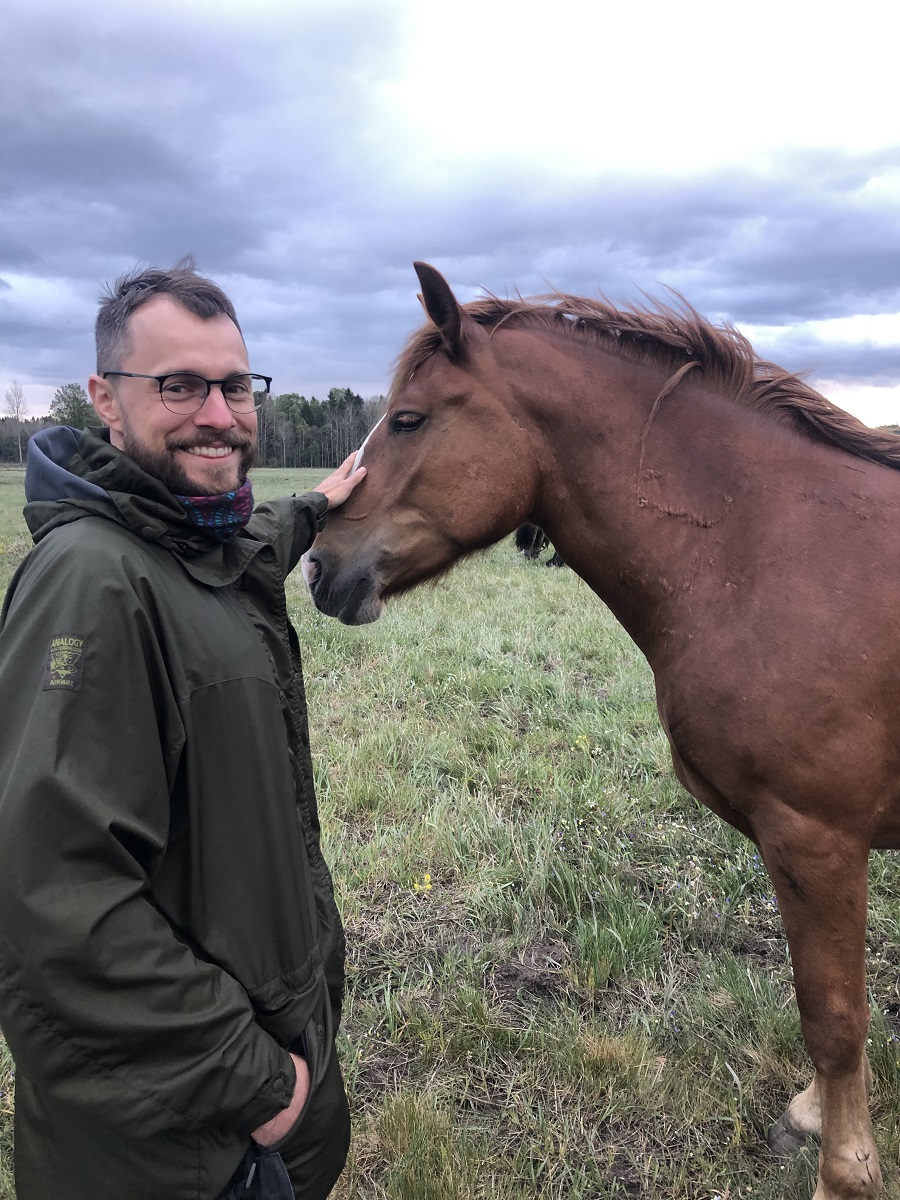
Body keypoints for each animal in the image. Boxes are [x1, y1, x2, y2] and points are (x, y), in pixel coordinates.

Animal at [307, 262, 900, 1200]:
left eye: (408, 419)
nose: (319, 566)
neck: (768, 552)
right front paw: (817, 1116)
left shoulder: (819, 838)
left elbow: (834, 1015)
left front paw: (844, 1172)